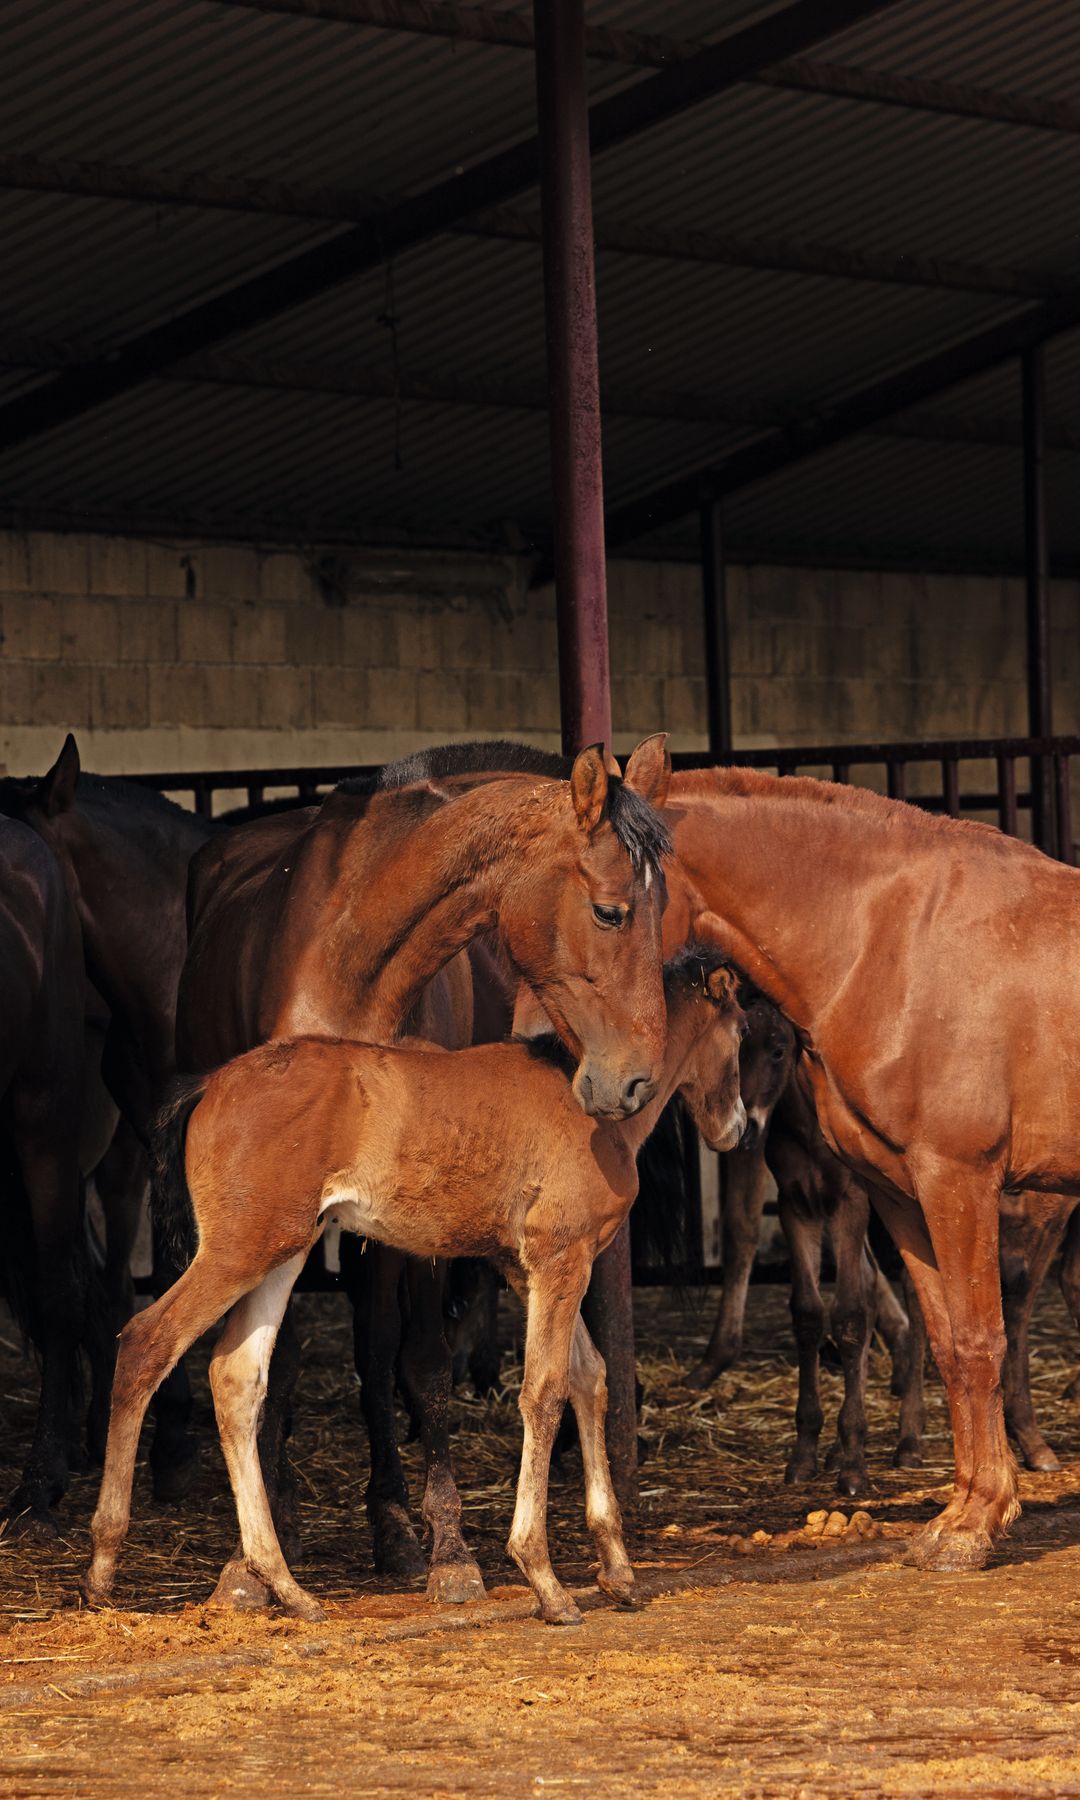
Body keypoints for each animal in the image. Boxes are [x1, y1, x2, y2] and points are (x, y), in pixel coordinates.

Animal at [84, 938, 746, 1624]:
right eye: (743, 1035)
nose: (736, 1127)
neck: (593, 1105)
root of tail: (208, 1085)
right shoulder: (560, 1257)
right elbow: (545, 1390)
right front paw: (545, 1580)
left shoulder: (524, 1266)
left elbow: (589, 1378)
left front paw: (618, 1571)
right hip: (238, 1251)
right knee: (146, 1342)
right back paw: (103, 1567)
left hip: (283, 1251)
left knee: (236, 1377)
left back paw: (288, 1587)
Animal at [172, 739, 672, 1608]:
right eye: (611, 910)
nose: (634, 1083)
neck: (354, 955)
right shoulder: (287, 1212)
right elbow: (275, 1366)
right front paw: (247, 1566)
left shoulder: (417, 1209)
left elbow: (424, 1367)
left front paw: (448, 1550)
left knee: (378, 1360)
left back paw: (394, 1525)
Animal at [665, 764, 1080, 1570]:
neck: (888, 938)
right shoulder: (900, 1194)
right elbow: (947, 1341)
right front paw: (966, 1509)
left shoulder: (960, 1179)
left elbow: (980, 1339)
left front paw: (977, 1524)